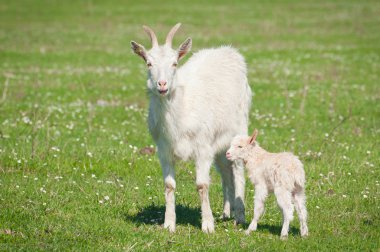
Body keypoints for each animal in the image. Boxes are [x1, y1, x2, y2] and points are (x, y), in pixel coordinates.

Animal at [131, 23, 252, 232]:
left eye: (174, 63)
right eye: (148, 63)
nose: (162, 84)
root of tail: (229, 51)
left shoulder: (203, 147)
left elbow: (202, 185)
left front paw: (208, 225)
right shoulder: (164, 149)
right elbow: (169, 185)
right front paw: (169, 224)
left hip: (239, 127)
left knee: (237, 169)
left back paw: (240, 216)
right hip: (219, 143)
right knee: (225, 171)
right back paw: (226, 212)